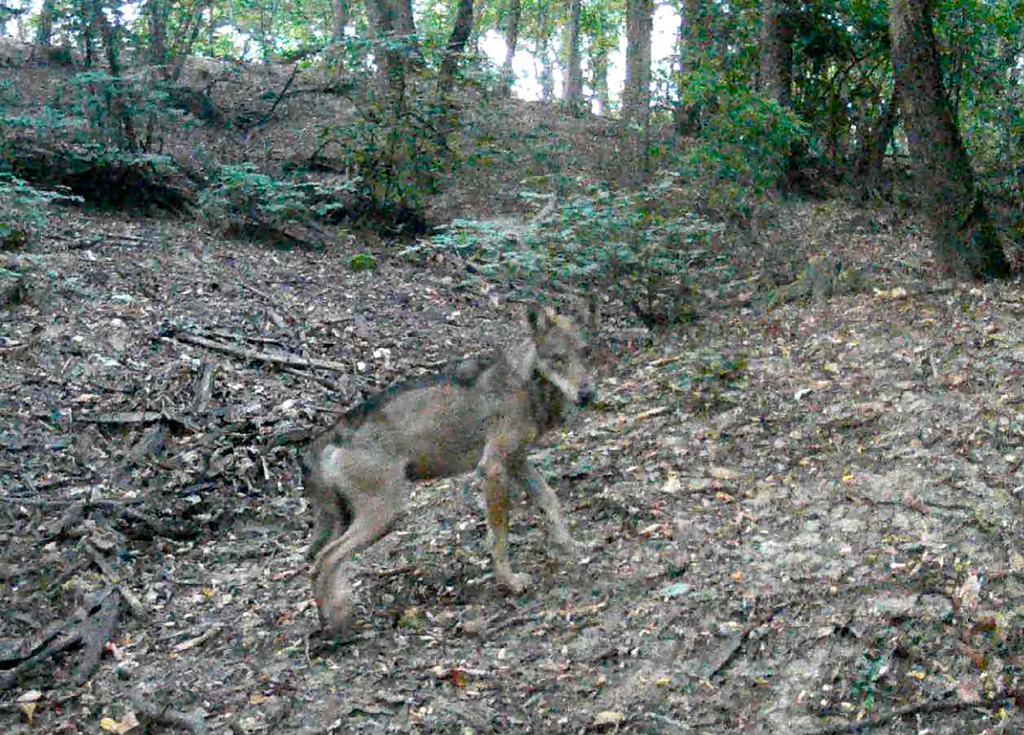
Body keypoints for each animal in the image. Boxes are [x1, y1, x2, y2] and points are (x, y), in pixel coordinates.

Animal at [302, 298, 599, 636]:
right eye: (558, 359)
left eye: (586, 352)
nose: (587, 394)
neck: (527, 383)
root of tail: (329, 435)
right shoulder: (494, 469)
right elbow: (499, 536)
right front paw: (509, 582)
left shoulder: (517, 462)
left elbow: (551, 501)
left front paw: (572, 546)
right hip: (384, 516)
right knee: (326, 560)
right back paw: (338, 627)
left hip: (354, 519)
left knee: (318, 564)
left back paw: (333, 618)